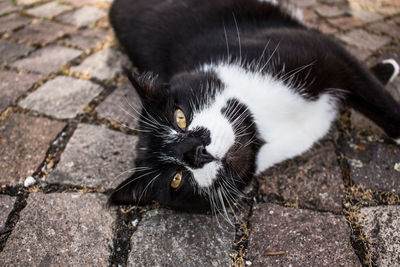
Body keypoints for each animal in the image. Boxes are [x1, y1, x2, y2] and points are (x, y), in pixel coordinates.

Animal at [107, 0, 400, 214]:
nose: (196, 152)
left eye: (179, 117)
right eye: (175, 179)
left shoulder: (319, 53)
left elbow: (372, 94)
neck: (262, 130)